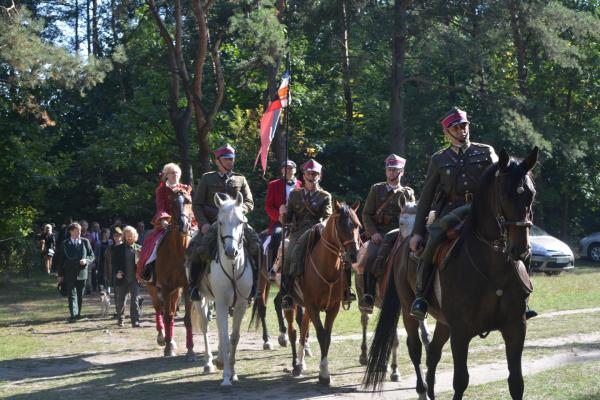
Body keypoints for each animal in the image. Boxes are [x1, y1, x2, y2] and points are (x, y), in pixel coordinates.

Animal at [147, 191, 196, 360]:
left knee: (173, 312)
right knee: (158, 309)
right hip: (153, 287)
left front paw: (190, 350)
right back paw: (162, 337)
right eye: (172, 202)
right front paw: (168, 348)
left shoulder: (187, 287)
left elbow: (187, 319)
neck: (178, 251)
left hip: (176, 290)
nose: (183, 224)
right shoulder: (166, 287)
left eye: (188, 201)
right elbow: (167, 316)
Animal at [190, 192, 251, 386]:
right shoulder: (222, 303)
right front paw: (225, 377)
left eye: (240, 221)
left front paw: (233, 373)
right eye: (220, 222)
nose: (231, 252)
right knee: (205, 327)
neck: (233, 268)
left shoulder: (240, 305)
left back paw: (219, 360)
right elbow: (224, 338)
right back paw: (209, 363)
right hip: (201, 299)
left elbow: (233, 338)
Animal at [286, 200, 360, 384]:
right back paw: (296, 365)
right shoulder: (312, 306)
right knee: (294, 331)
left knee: (303, 328)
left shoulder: (333, 308)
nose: (354, 255)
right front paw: (324, 374)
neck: (327, 267)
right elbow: (320, 334)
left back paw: (300, 363)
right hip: (293, 304)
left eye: (357, 225)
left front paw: (324, 371)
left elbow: (328, 336)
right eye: (341, 225)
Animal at [364, 148, 540, 400]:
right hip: (409, 311)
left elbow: (516, 383)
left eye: (531, 194)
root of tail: (403, 242)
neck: (493, 268)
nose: (520, 249)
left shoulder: (516, 327)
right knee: (416, 349)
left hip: (443, 322)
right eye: (505, 195)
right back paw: (421, 389)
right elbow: (461, 381)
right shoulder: (460, 331)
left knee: (433, 353)